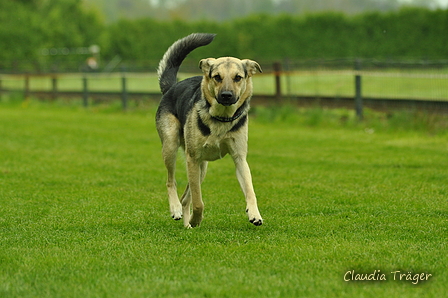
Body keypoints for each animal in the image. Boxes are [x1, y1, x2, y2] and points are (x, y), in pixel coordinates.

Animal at [157, 33, 262, 228]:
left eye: (238, 77)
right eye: (217, 77)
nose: (226, 96)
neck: (221, 118)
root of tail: (172, 87)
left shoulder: (239, 158)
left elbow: (250, 190)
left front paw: (254, 214)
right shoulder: (192, 159)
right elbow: (198, 201)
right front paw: (196, 218)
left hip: (202, 168)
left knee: (186, 198)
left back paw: (186, 223)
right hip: (171, 146)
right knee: (171, 181)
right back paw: (176, 209)